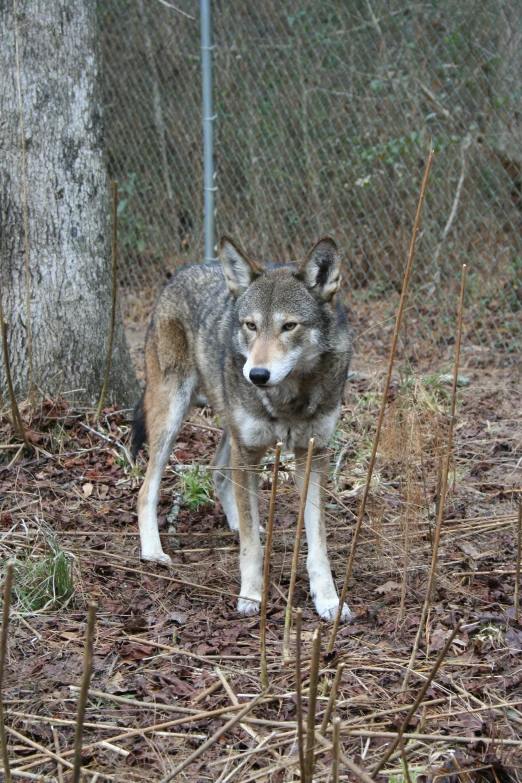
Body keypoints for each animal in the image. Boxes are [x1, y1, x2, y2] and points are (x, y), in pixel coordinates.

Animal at [130, 236, 352, 620]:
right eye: (250, 325)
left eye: (289, 326)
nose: (257, 375)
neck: (289, 398)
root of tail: (182, 272)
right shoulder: (248, 451)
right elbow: (252, 546)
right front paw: (251, 594)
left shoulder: (312, 452)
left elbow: (317, 544)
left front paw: (328, 600)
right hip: (173, 417)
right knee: (147, 490)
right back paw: (154, 553)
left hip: (232, 431)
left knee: (217, 471)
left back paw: (233, 521)